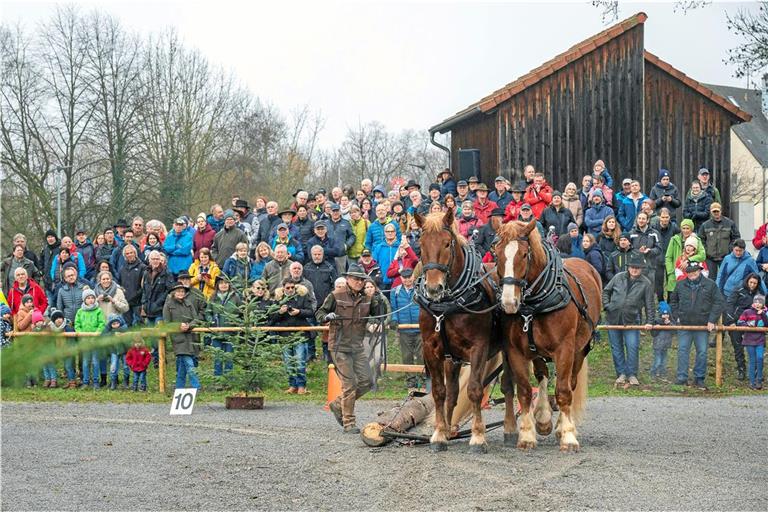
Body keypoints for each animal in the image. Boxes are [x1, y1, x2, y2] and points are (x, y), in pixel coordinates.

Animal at [414, 210, 510, 454]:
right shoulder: (432, 350)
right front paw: (440, 434)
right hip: (452, 360)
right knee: (453, 393)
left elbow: (475, 389)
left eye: (447, 244)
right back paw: (449, 430)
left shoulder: (478, 348)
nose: (433, 288)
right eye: (420, 245)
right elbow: (440, 392)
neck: (446, 307)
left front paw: (477, 437)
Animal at [496, 220, 604, 452]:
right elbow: (525, 391)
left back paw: (561, 426)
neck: (534, 306)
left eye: (524, 254)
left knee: (570, 383)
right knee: (542, 374)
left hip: (580, 350)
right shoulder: (516, 351)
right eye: (496, 252)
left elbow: (563, 392)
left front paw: (568, 436)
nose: (509, 302)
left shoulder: (565, 349)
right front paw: (527, 435)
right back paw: (543, 418)